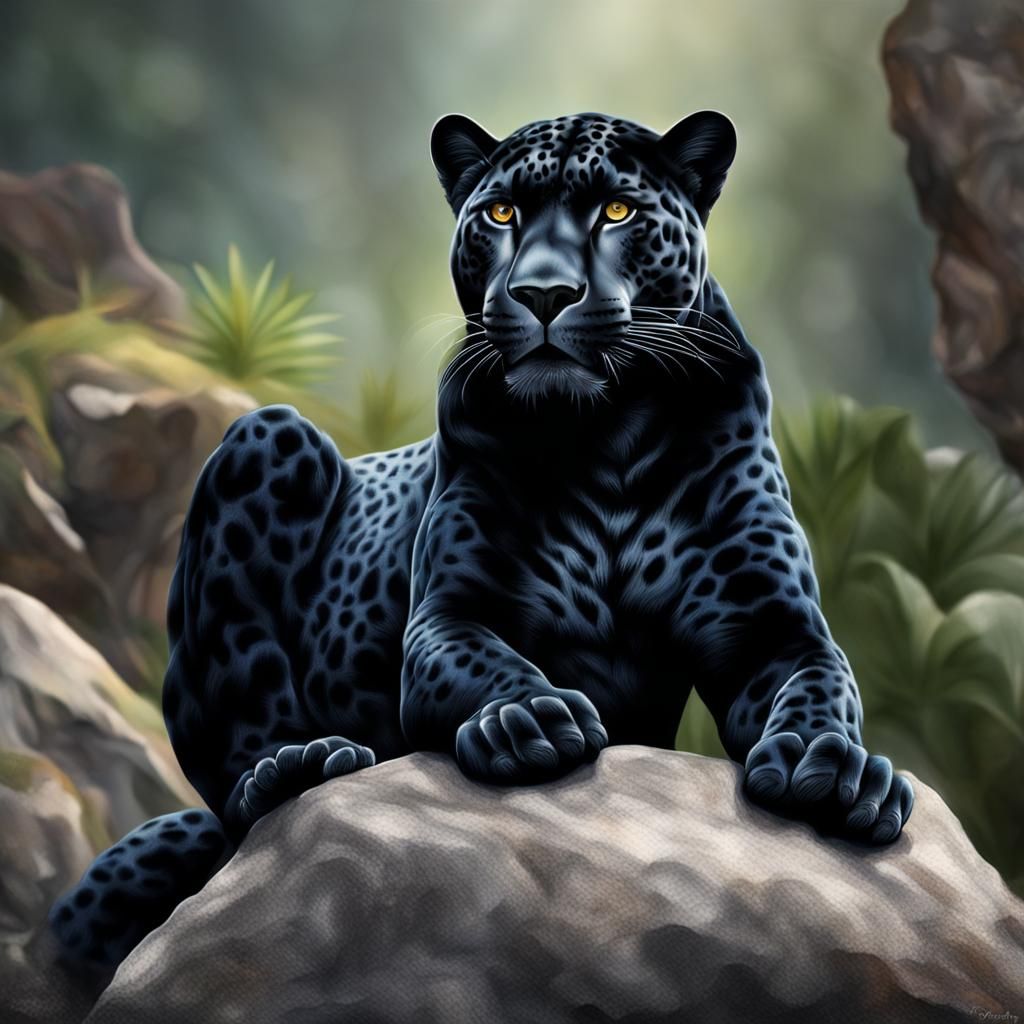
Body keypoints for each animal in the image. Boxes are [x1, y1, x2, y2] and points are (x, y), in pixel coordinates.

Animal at [51, 109, 914, 967]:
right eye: (502, 214)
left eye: (616, 211)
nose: (543, 294)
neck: (606, 438)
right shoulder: (450, 614)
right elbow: (485, 660)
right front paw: (528, 719)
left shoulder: (771, 627)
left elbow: (817, 684)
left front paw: (832, 768)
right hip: (264, 440)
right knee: (233, 763)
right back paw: (297, 765)